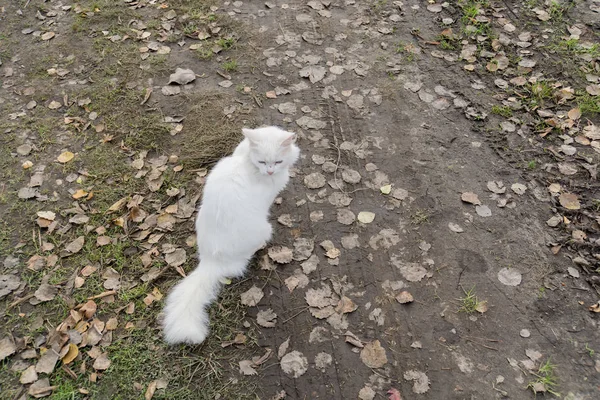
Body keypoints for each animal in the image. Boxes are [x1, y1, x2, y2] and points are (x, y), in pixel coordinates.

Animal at [162, 126, 300, 344]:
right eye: (262, 162)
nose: (270, 171)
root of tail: (211, 261)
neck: (246, 160)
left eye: (277, 161)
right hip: (264, 228)